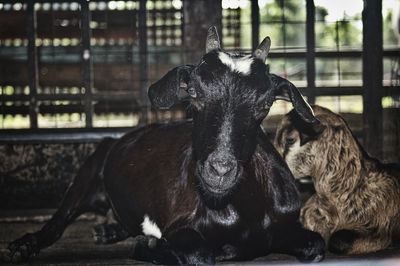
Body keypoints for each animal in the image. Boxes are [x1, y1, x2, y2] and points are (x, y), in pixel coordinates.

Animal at [7, 27, 324, 264]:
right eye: (192, 92)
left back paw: (108, 230)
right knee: (57, 222)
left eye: (265, 104)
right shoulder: (179, 227)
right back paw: (25, 245)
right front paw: (149, 246)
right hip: (86, 173)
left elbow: (316, 245)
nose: (220, 171)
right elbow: (200, 255)